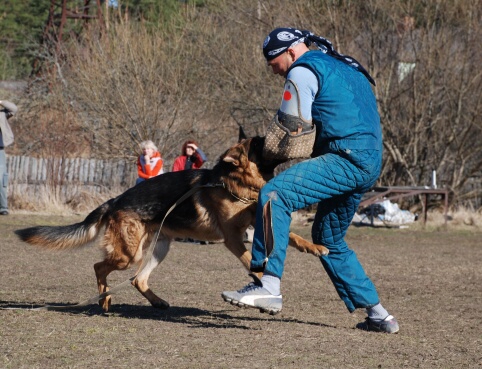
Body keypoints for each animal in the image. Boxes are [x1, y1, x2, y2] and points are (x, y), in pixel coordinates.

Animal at [15, 136, 328, 310]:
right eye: (260, 143)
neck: (234, 184)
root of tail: (115, 200)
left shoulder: (255, 223)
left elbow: (292, 238)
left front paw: (314, 247)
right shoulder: (232, 238)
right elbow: (251, 259)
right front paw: (262, 280)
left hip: (159, 249)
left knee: (137, 279)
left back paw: (157, 302)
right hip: (130, 254)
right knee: (100, 267)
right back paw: (104, 299)